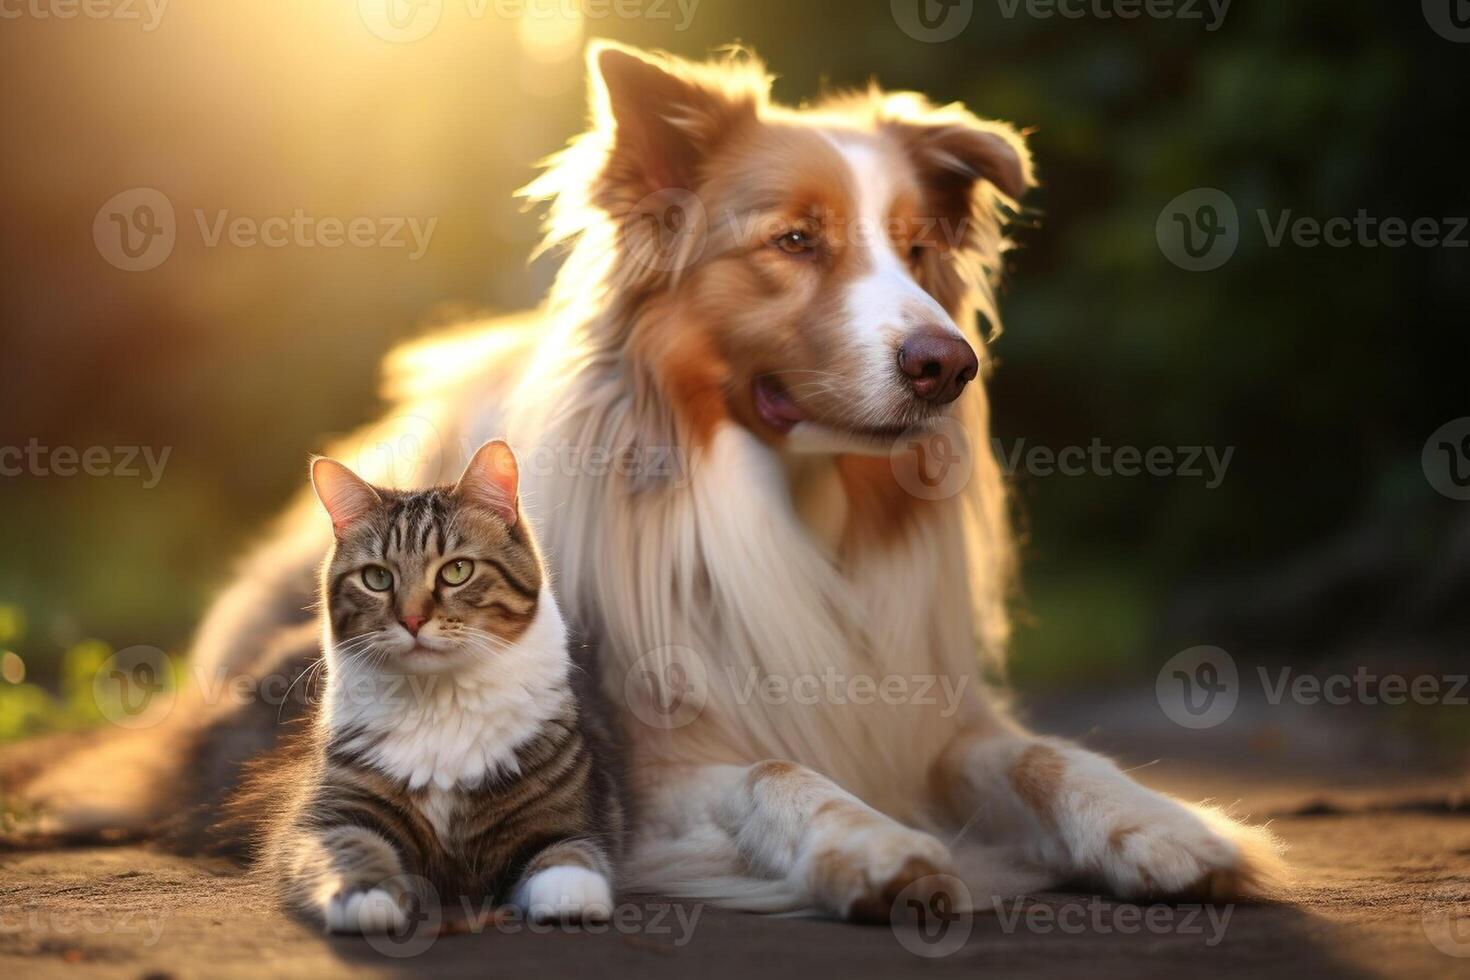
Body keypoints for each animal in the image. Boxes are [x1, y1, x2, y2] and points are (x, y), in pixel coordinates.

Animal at [230, 440, 626, 934]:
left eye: (457, 571)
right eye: (377, 578)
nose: (413, 620)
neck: (440, 701)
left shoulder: (567, 815)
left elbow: (571, 858)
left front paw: (569, 901)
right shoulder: (329, 815)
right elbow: (353, 850)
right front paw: (369, 899)